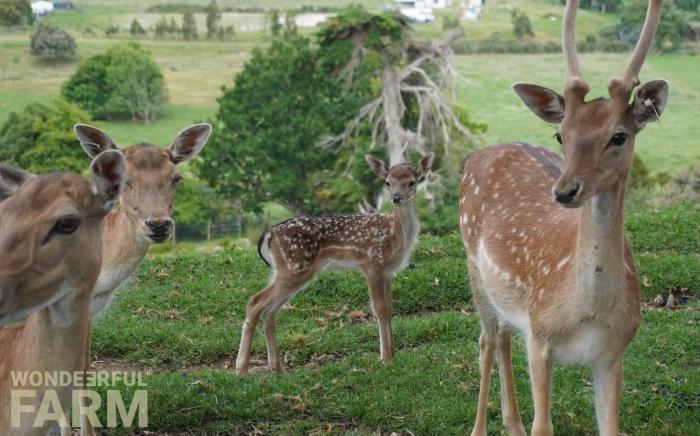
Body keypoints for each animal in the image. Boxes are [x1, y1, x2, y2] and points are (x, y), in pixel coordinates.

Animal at [236, 153, 435, 376]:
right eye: (387, 182)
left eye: (412, 181)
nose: (396, 197)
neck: (395, 235)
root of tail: (268, 234)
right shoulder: (372, 263)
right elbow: (380, 308)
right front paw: (386, 360)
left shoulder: (388, 272)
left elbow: (390, 308)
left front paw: (392, 354)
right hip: (295, 268)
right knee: (255, 302)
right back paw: (242, 368)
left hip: (286, 270)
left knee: (269, 310)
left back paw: (277, 368)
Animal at [459, 0, 668, 435]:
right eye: (561, 134)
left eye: (619, 136)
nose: (564, 191)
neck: (588, 313)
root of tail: (473, 156)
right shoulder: (540, 340)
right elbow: (544, 427)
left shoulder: (612, 354)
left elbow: (610, 428)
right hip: (473, 264)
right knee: (487, 340)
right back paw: (480, 427)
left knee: (504, 337)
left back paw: (512, 424)